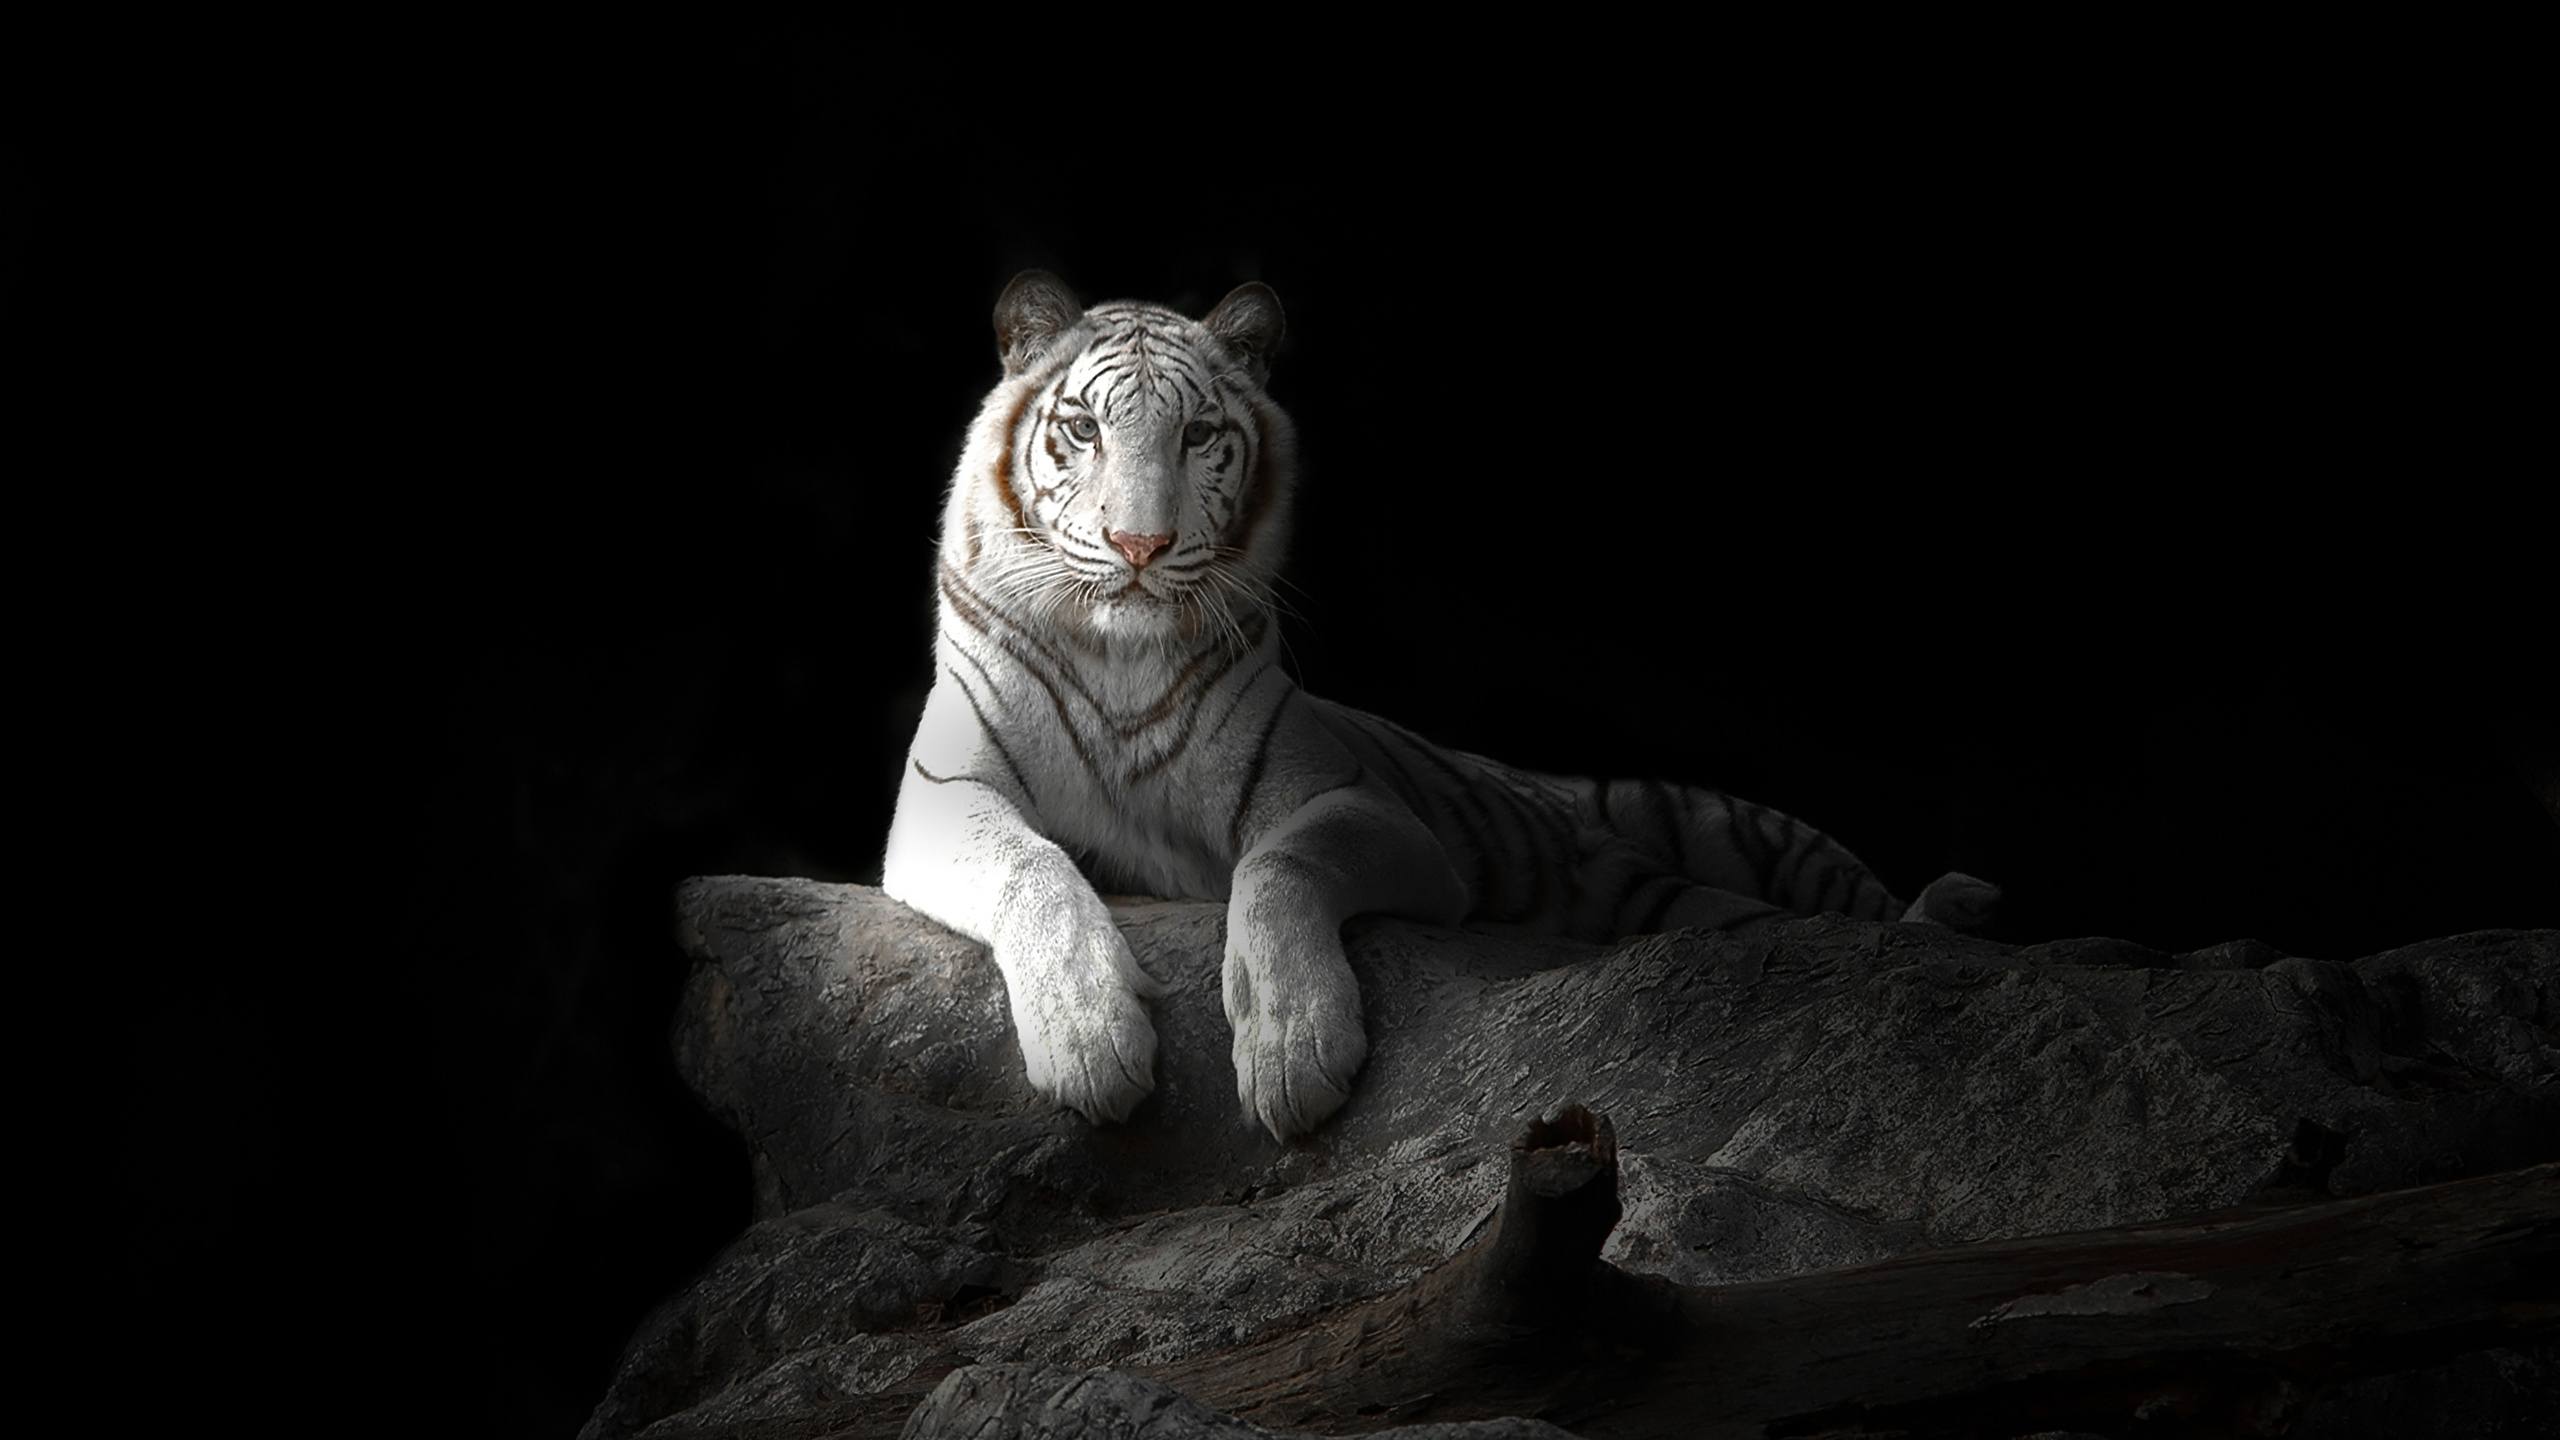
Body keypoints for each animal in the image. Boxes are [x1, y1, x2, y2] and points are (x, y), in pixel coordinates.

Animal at [882, 271, 1997, 1142]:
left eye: (1196, 434)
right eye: (1080, 428)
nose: (1140, 547)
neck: (1118, 654)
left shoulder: (1363, 807)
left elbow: (1278, 866)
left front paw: (1292, 1050)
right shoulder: (942, 796)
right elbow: (1033, 868)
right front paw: (1089, 1041)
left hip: (1747, 835)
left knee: (1862, 912)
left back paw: (1956, 910)